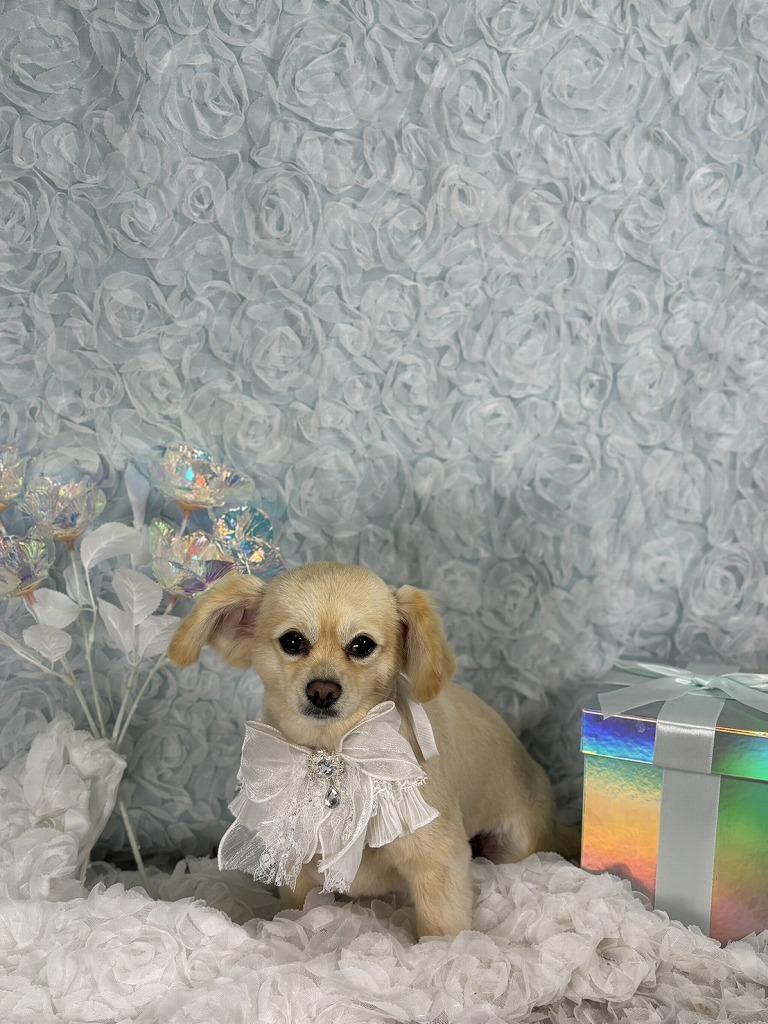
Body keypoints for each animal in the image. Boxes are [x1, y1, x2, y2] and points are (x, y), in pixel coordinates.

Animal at [169, 561, 577, 938]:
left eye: (361, 645)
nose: (322, 690)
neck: (335, 751)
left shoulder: (438, 858)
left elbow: (442, 930)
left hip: (515, 844)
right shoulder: (298, 866)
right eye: (293, 642)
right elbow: (299, 914)